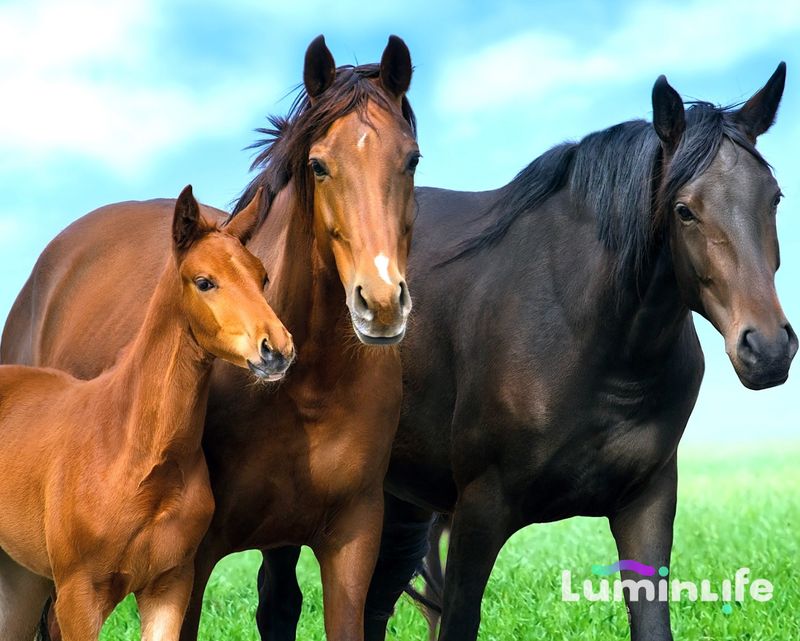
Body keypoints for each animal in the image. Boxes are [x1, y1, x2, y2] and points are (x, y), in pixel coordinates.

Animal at [0, 185, 293, 641]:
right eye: (204, 281)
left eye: (262, 277)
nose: (277, 350)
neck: (133, 452)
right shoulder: (79, 597)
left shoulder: (169, 587)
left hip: (19, 577)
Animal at [255, 64, 796, 641]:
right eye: (684, 210)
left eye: (774, 198)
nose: (768, 347)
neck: (595, 341)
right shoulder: (479, 512)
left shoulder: (647, 504)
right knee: (281, 603)